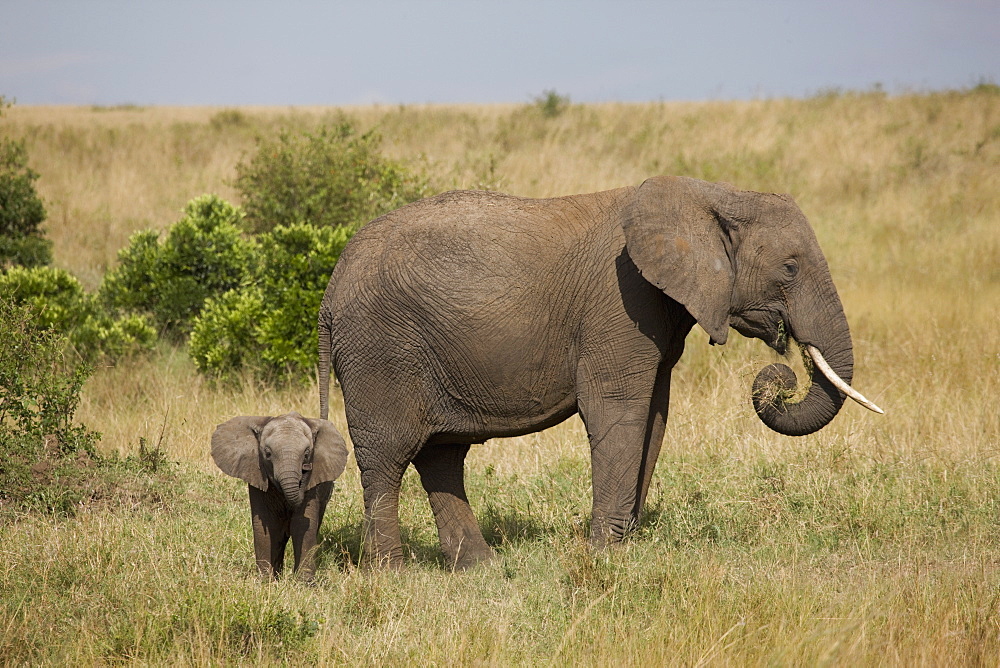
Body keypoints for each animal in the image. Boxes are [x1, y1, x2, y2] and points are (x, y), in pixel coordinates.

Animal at [211, 412, 348, 580]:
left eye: (307, 454)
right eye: (268, 454)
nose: (306, 468)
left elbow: (302, 525)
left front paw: (304, 583)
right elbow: (266, 524)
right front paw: (266, 581)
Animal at [316, 174, 880, 568]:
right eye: (790, 267)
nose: (782, 376)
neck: (713, 194)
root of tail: (330, 287)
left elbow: (654, 419)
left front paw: (623, 546)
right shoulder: (621, 302)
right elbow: (618, 414)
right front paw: (605, 554)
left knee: (441, 455)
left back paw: (481, 568)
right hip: (379, 349)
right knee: (388, 456)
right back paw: (394, 574)